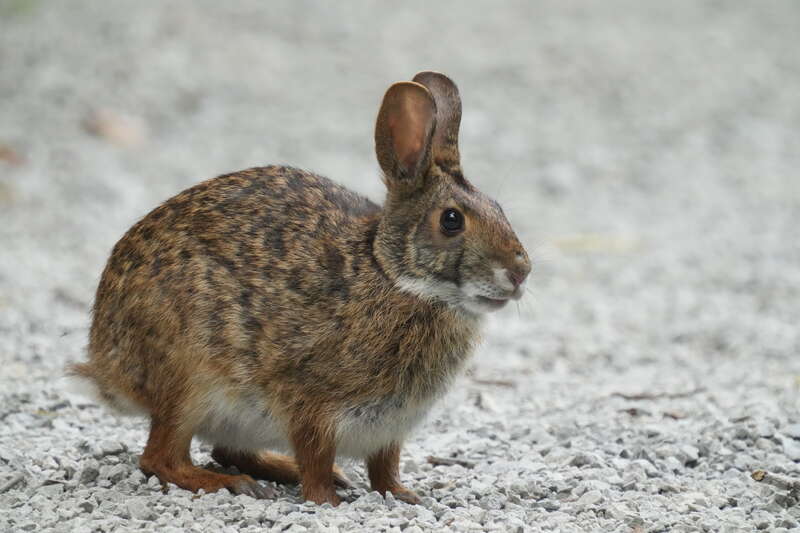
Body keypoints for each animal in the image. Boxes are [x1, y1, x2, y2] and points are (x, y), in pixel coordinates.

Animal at [69, 71, 531, 506]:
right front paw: (327, 500)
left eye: (499, 208)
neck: (394, 275)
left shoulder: (390, 430)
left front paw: (402, 495)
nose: (521, 271)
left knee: (224, 450)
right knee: (161, 457)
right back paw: (234, 484)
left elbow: (385, 467)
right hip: (189, 379)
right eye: (451, 220)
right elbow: (315, 457)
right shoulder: (312, 404)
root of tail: (107, 365)